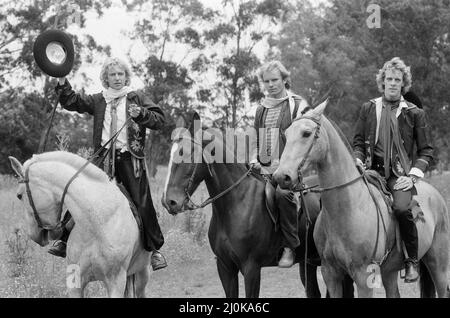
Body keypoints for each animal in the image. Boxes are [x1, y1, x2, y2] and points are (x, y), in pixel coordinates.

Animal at [9, 150, 149, 296]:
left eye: (19, 195)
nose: (33, 235)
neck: (97, 224)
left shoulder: (116, 283)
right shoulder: (75, 282)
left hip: (141, 273)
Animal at [163, 112, 354, 298]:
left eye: (185, 153)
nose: (169, 202)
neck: (236, 203)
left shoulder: (251, 268)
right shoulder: (225, 267)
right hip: (310, 262)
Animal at [272, 102, 448, 298]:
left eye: (306, 133)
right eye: (286, 134)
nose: (281, 176)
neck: (348, 209)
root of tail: (435, 194)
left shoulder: (364, 276)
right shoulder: (330, 273)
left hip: (438, 264)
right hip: (390, 271)